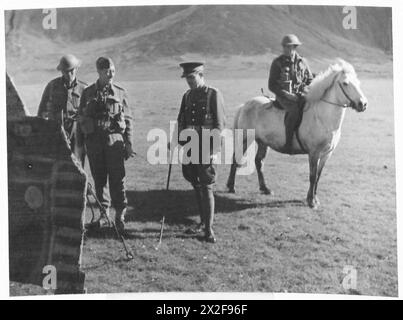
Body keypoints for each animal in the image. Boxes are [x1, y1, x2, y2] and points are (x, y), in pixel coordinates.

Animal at [227, 59, 370, 210]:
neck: (322, 117)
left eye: (358, 82)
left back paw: (265, 189)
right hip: (245, 139)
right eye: (345, 83)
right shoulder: (314, 153)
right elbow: (312, 176)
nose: (363, 104)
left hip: (262, 142)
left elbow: (318, 176)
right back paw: (231, 186)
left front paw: (314, 198)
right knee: (236, 159)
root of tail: (245, 105)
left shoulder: (326, 154)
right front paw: (311, 201)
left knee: (259, 162)